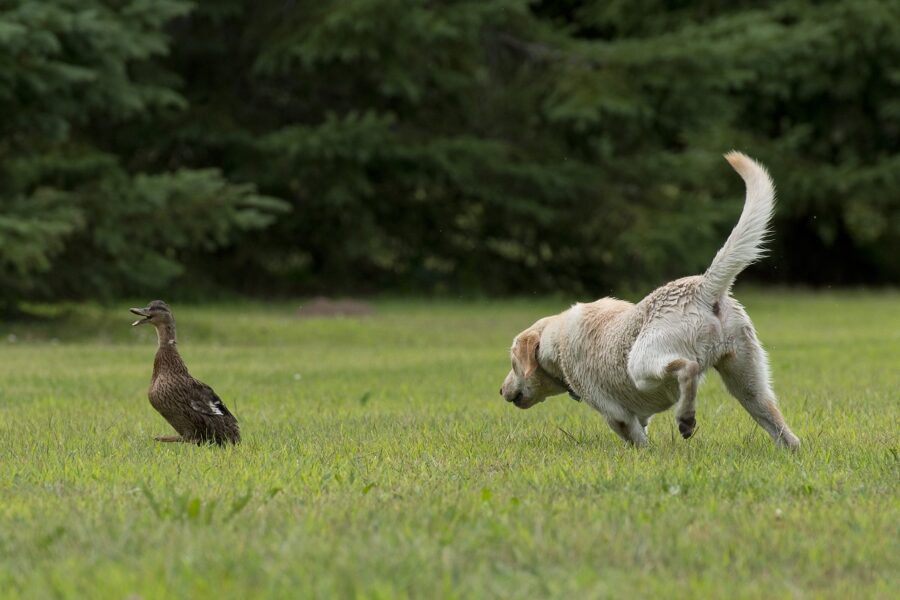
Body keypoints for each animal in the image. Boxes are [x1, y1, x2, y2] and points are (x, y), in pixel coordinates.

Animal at [500, 152, 800, 448]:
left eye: (513, 363)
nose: (501, 390)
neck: (554, 338)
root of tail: (702, 287)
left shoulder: (616, 414)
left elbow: (636, 439)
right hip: (748, 383)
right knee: (785, 432)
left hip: (642, 364)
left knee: (687, 369)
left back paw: (686, 418)